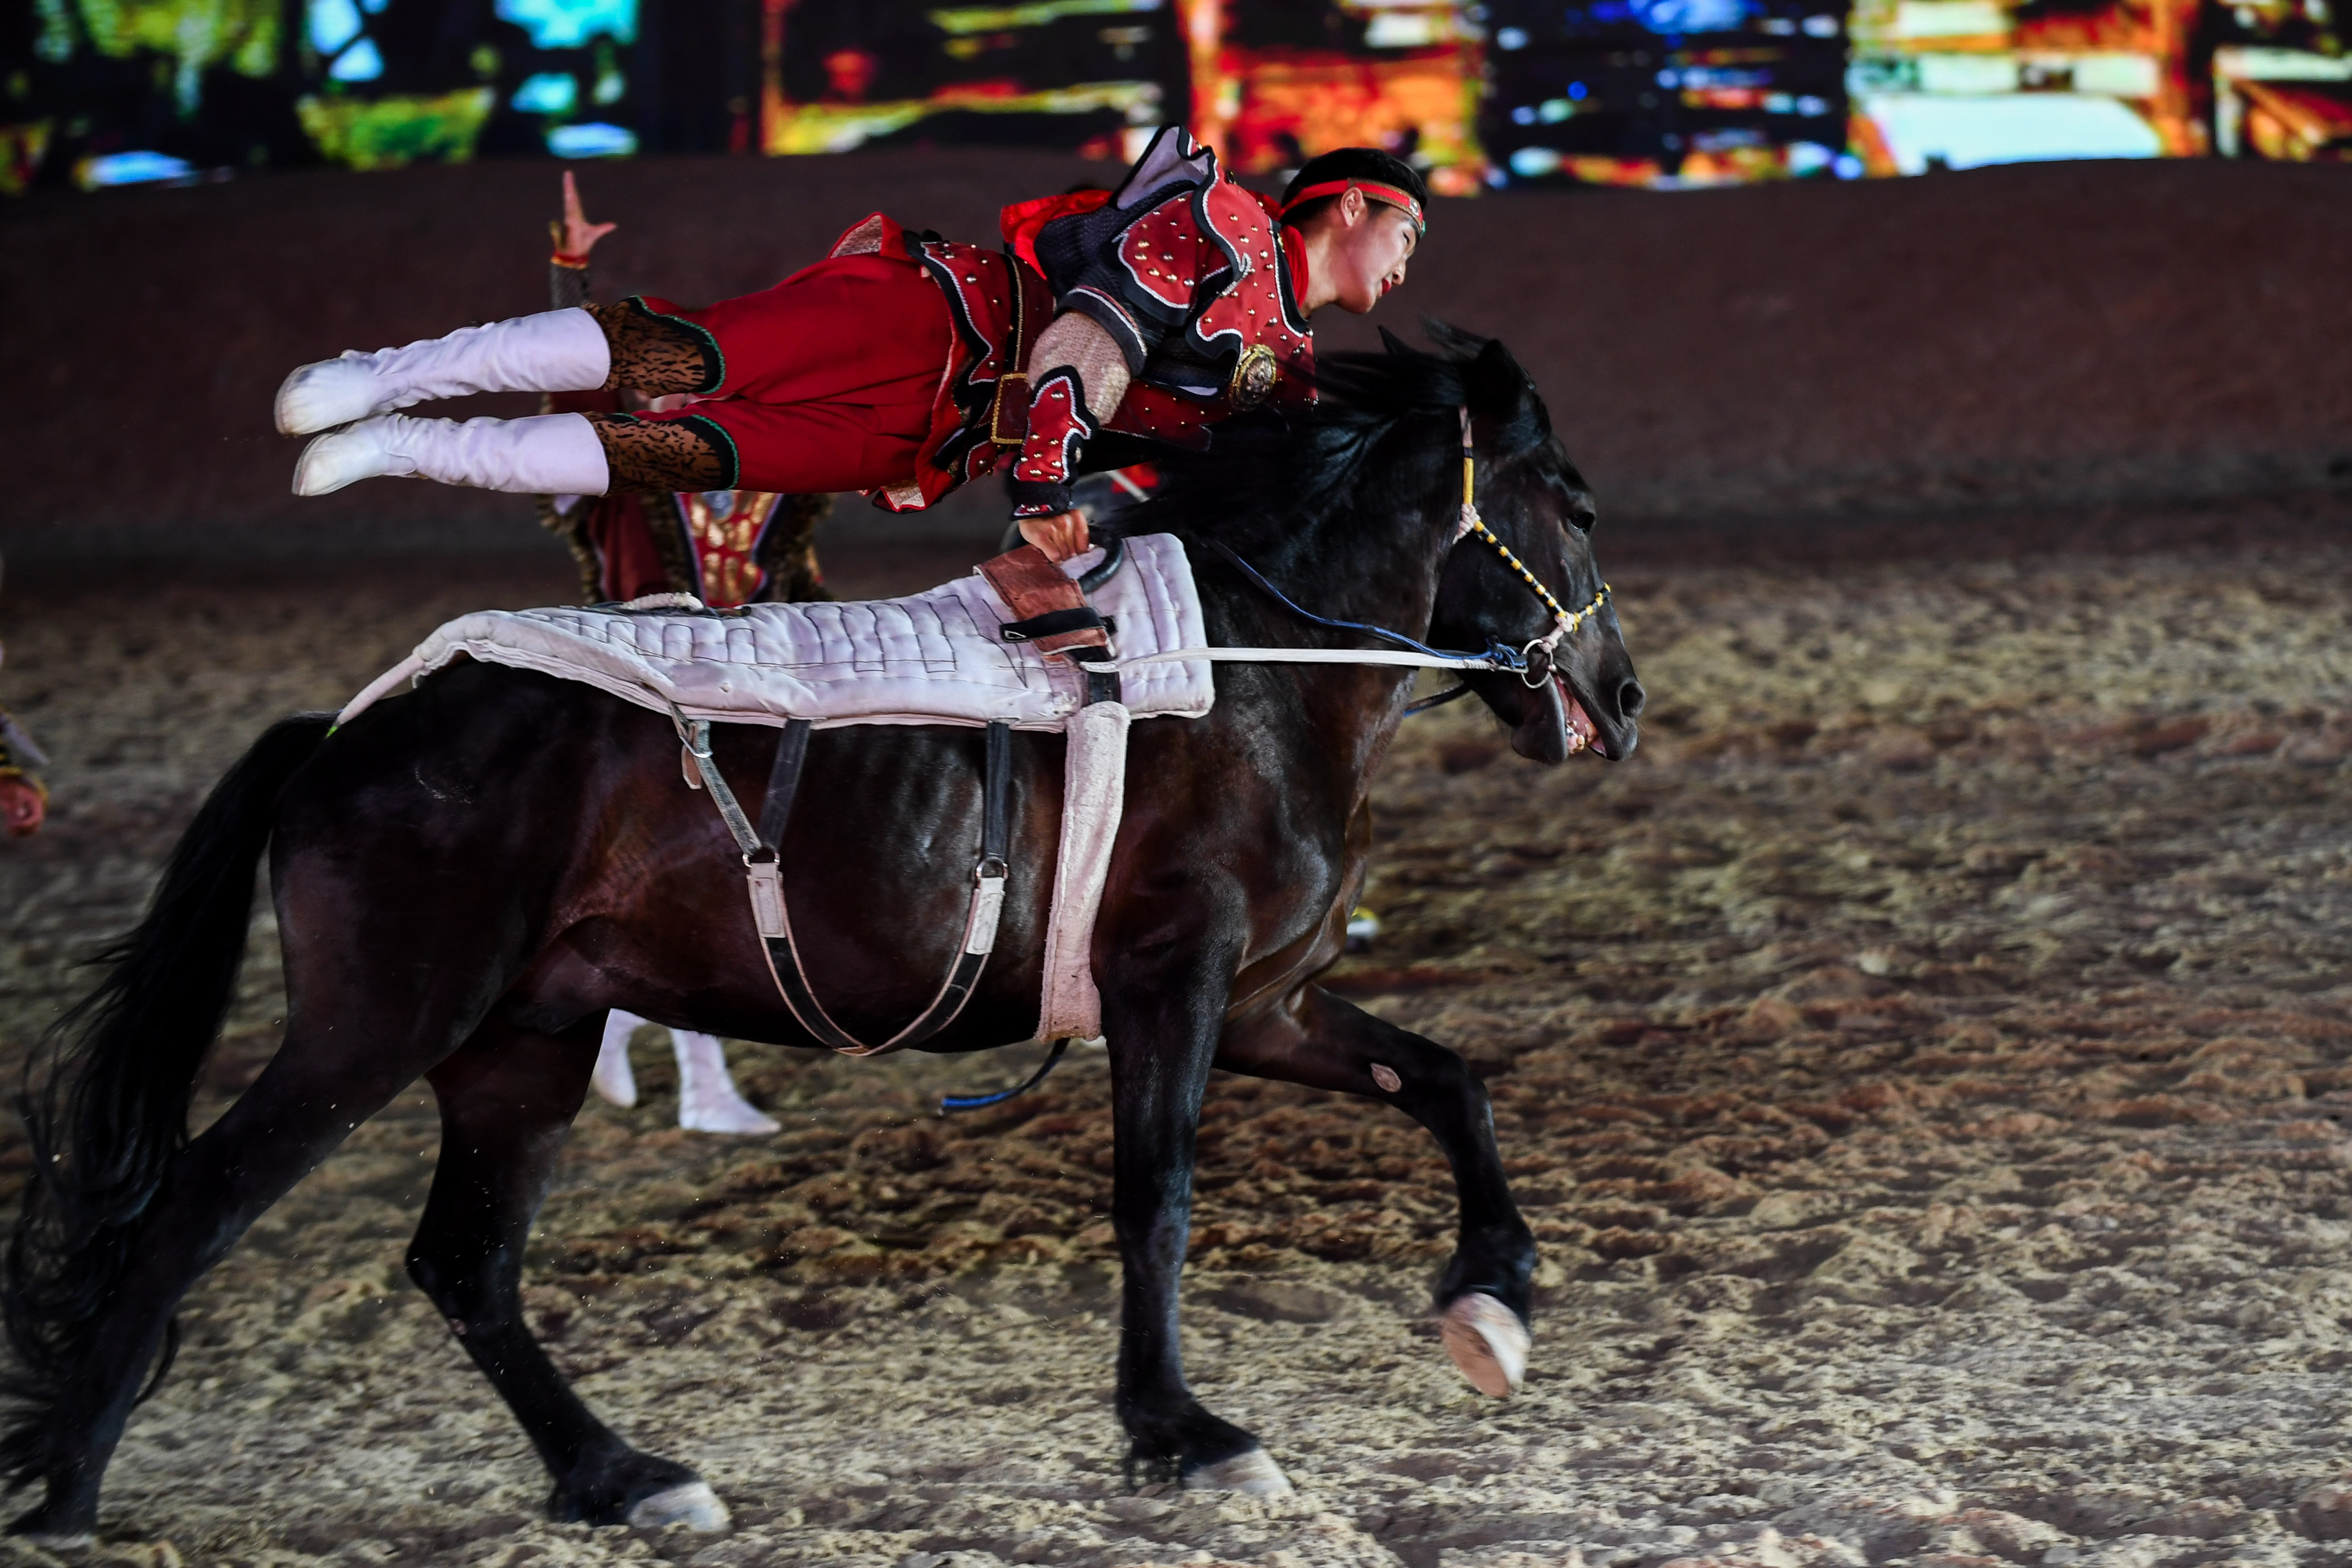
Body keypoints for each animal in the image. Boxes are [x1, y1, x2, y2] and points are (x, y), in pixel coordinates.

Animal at [9, 324, 1646, 1542]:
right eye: (1570, 498)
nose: (1621, 697)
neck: (1247, 673)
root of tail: (350, 730)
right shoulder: (1170, 992)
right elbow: (1159, 1199)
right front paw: (1182, 1429)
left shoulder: (1263, 1009)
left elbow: (1446, 1081)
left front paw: (1492, 1297)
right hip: (378, 1027)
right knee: (190, 1213)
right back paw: (73, 1495)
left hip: (521, 1043)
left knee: (464, 1265)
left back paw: (622, 1476)